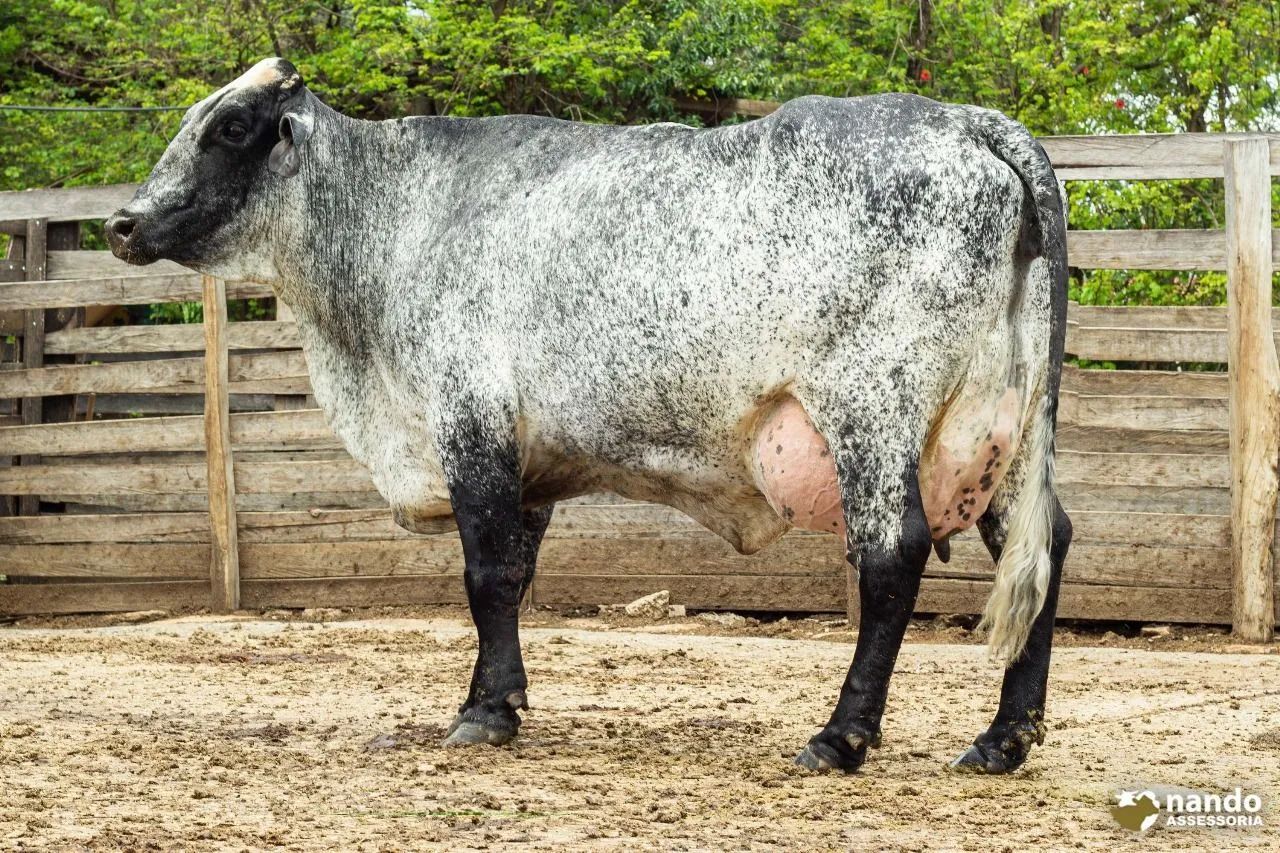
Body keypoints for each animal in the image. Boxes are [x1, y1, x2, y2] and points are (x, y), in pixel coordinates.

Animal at [107, 58, 1072, 774]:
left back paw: (841, 735)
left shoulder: (469, 422)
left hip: (872, 407)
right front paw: (499, 697)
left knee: (891, 552)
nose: (122, 222)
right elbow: (516, 575)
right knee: (1044, 543)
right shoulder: (525, 464)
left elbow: (486, 574)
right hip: (1005, 432)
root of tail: (969, 123)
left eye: (230, 127)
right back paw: (1002, 738)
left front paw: (483, 713)